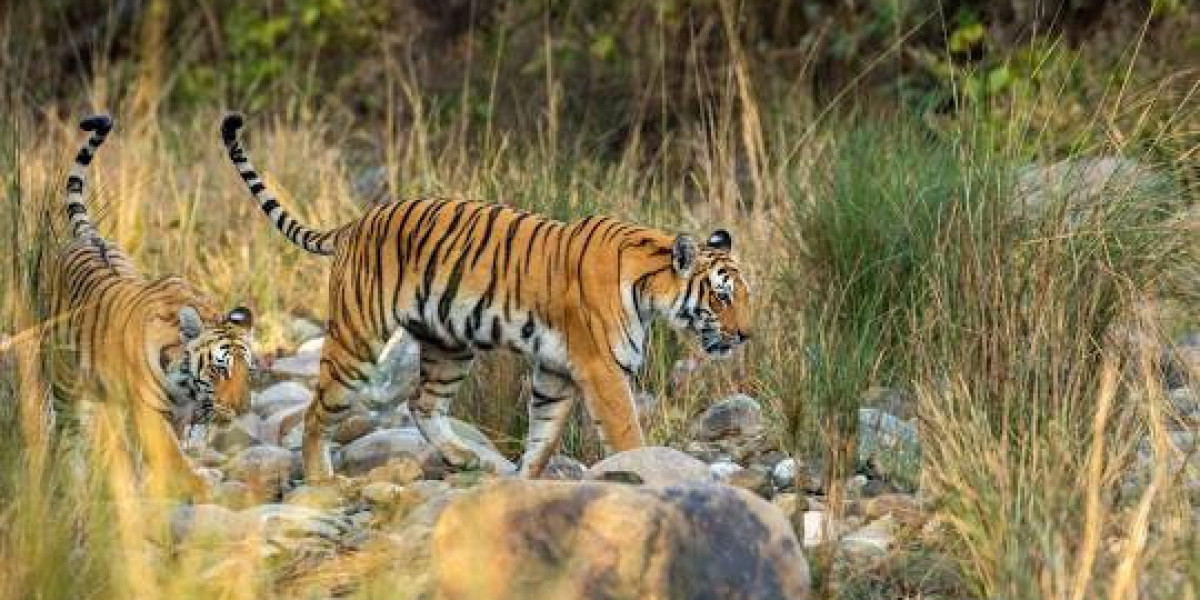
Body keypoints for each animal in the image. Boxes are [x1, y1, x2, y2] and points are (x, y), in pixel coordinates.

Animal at [42, 114, 255, 499]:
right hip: (63, 374)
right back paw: (67, 477)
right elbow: (173, 458)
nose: (242, 409)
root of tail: (88, 236)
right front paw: (200, 490)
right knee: (66, 427)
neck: (185, 384)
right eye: (220, 370)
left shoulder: (177, 414)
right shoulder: (150, 414)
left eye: (250, 371)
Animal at [223, 111, 748, 477]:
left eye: (745, 296)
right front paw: (650, 473)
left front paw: (524, 481)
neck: (650, 286)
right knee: (318, 410)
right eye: (721, 297)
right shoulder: (601, 369)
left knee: (422, 403)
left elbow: (543, 434)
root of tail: (355, 222)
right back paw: (320, 480)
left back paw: (464, 458)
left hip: (449, 345)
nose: (745, 336)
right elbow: (626, 433)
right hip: (358, 339)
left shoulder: (556, 370)